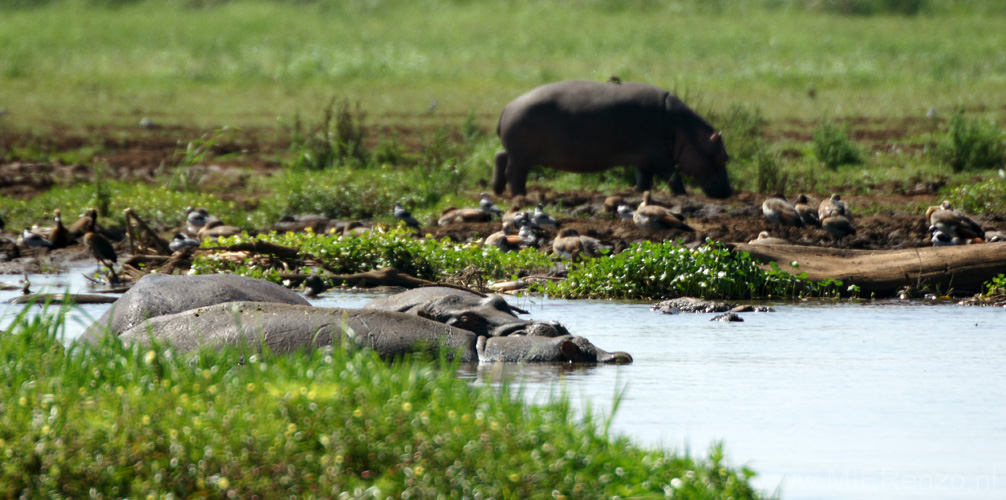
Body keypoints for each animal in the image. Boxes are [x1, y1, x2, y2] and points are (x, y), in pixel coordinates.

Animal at [492, 79, 732, 197]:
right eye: (722, 157)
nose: (730, 192)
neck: (686, 131)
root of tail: (507, 106)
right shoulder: (660, 157)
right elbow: (673, 175)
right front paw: (683, 195)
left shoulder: (645, 158)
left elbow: (644, 178)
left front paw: (641, 193)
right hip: (522, 157)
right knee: (515, 173)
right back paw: (521, 195)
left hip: (516, 152)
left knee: (500, 156)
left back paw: (498, 190)